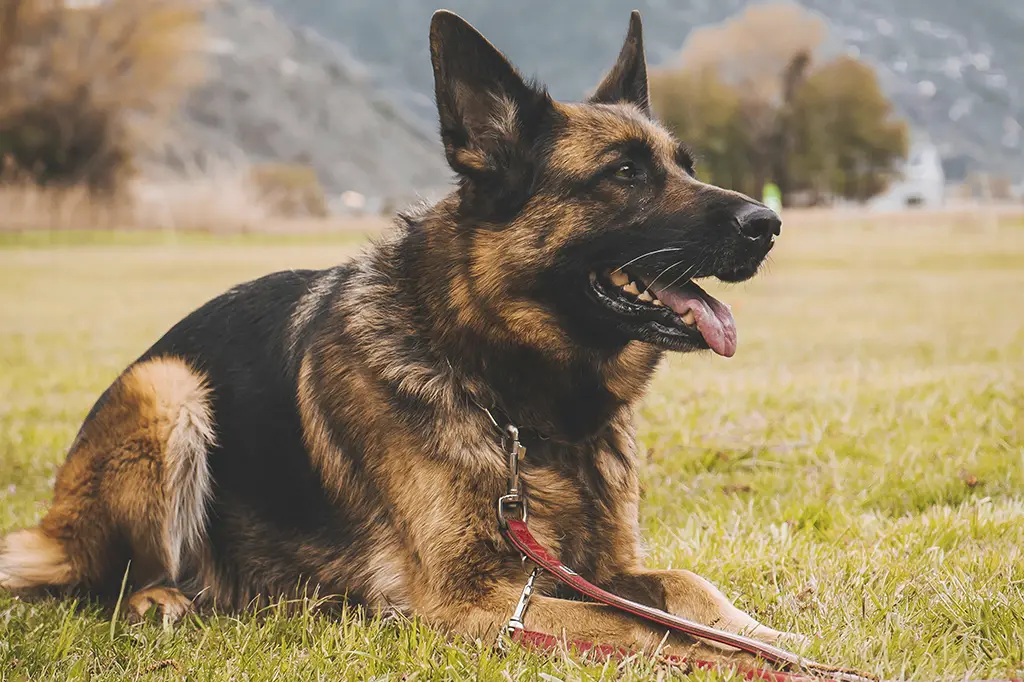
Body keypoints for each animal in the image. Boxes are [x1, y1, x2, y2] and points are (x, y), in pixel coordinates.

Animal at [0, 9, 790, 659]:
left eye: (686, 165)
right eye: (624, 172)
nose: (769, 224)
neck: (507, 402)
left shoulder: (600, 568)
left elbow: (689, 587)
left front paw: (764, 634)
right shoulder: (479, 601)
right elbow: (644, 630)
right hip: (167, 387)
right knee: (114, 582)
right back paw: (163, 599)